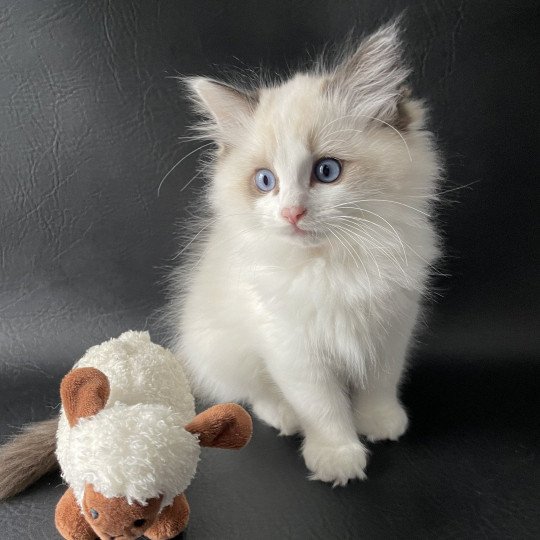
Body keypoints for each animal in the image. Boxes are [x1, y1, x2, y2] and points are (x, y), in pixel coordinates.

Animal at [167, 22, 440, 486]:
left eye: (327, 171)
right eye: (265, 181)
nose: (291, 213)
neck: (335, 263)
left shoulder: (390, 328)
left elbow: (380, 382)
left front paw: (380, 423)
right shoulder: (292, 346)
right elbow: (322, 406)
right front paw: (338, 457)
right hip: (224, 347)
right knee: (252, 394)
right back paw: (284, 416)